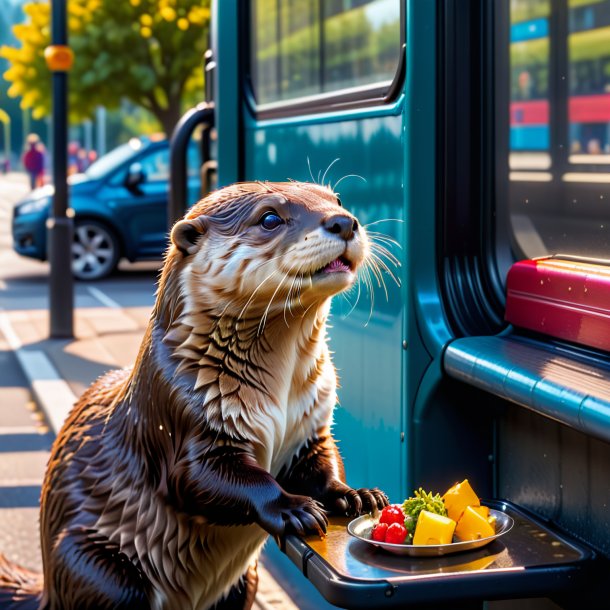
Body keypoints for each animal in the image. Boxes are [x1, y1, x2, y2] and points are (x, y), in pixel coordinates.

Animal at [0, 180, 388, 608]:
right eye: (270, 218)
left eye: (337, 200)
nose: (344, 222)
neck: (279, 397)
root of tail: (46, 588)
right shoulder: (180, 407)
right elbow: (206, 479)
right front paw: (292, 508)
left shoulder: (311, 422)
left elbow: (323, 463)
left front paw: (354, 495)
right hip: (96, 569)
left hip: (246, 579)